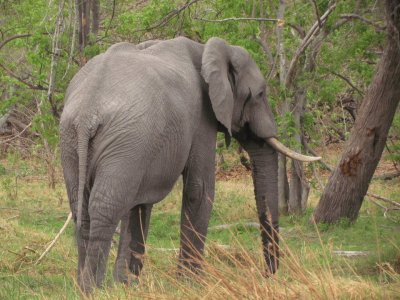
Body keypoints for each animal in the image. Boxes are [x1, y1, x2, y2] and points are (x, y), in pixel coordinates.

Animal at [59, 36, 318, 292]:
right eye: (261, 94)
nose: (267, 275)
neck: (206, 50)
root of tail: (87, 114)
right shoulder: (202, 116)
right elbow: (200, 190)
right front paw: (192, 284)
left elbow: (141, 204)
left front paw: (128, 285)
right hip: (124, 142)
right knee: (105, 208)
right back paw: (93, 289)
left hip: (76, 140)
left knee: (83, 210)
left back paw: (84, 287)